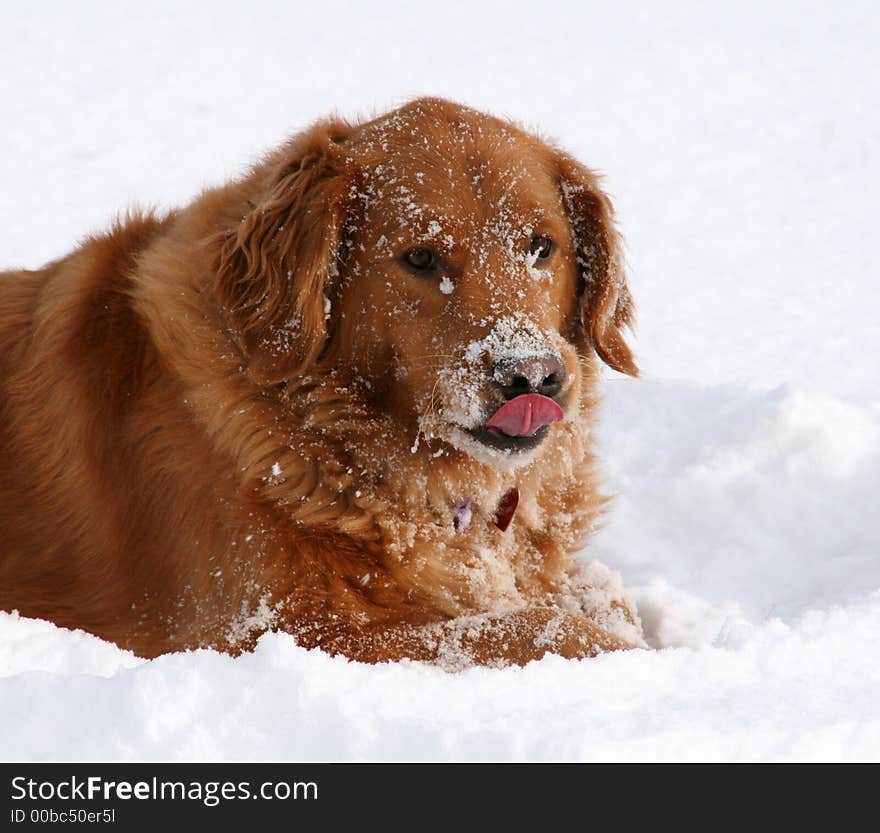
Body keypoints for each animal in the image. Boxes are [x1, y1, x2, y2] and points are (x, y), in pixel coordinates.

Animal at [0, 97, 640, 668]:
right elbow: (525, 628)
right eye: (420, 258)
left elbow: (606, 600)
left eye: (540, 247)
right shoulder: (275, 632)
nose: (530, 374)